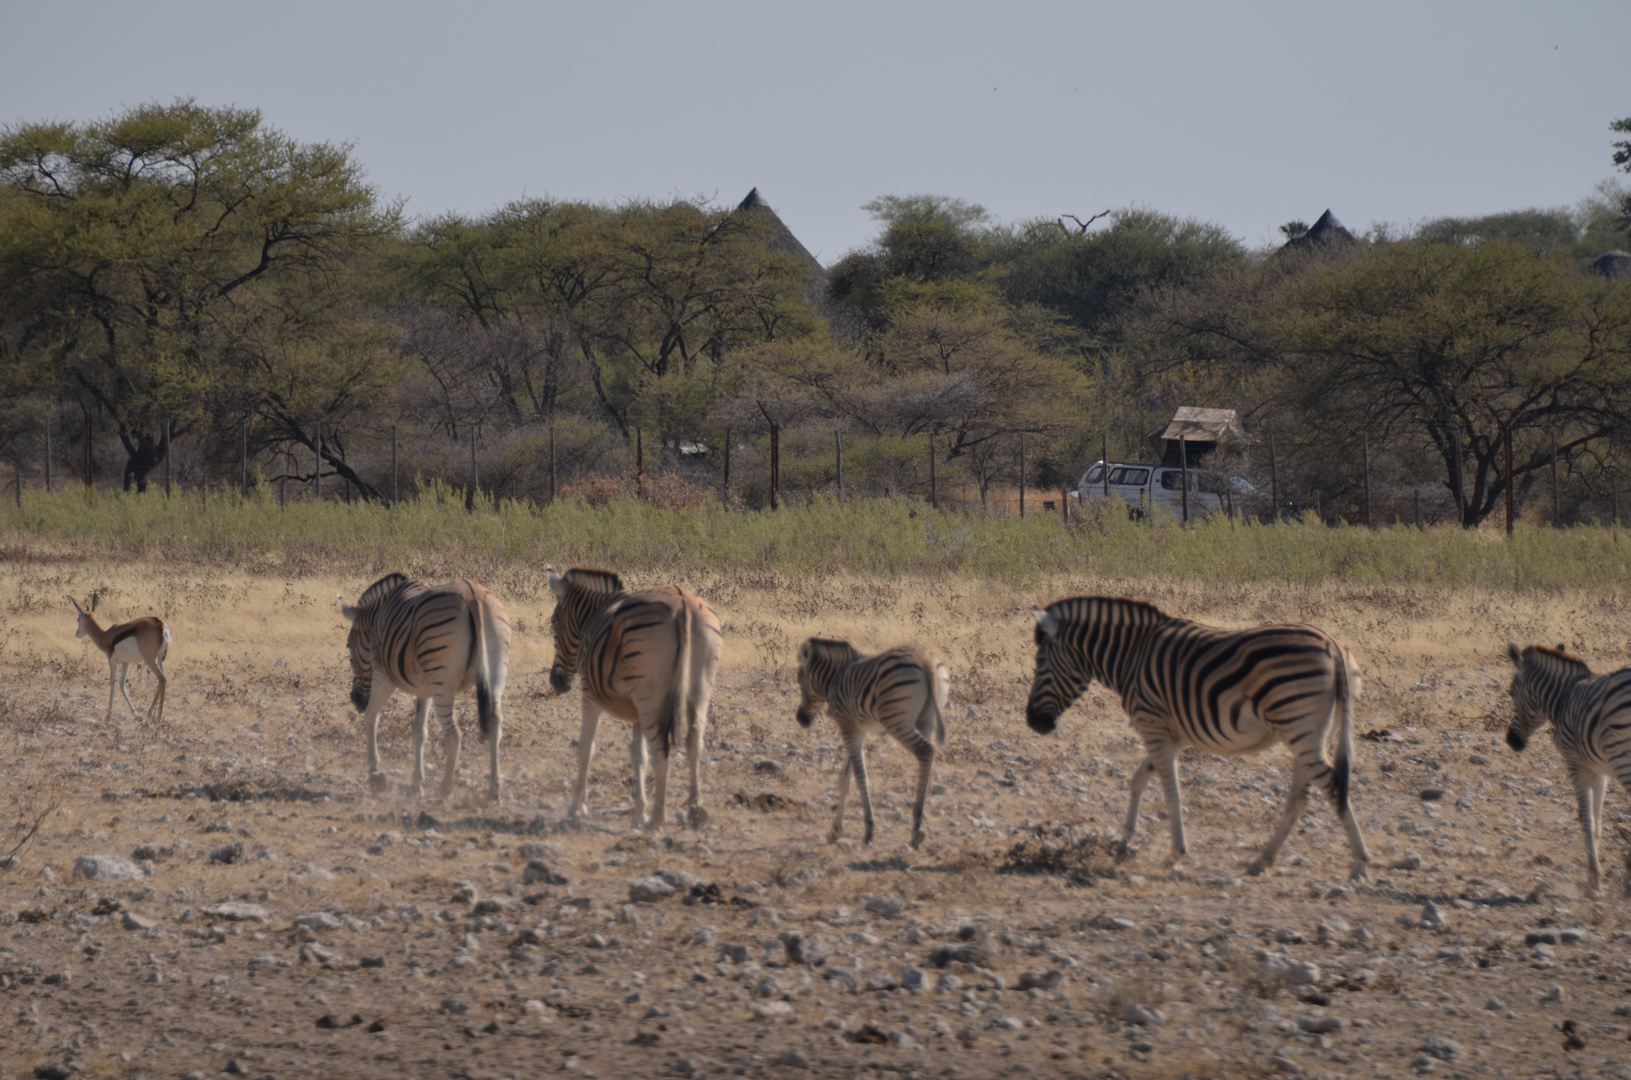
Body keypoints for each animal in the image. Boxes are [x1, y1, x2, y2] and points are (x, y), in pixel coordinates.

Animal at [332, 574, 505, 802]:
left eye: (349, 646)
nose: (355, 700)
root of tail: (473, 594)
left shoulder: (382, 673)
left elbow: (371, 718)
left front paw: (375, 772)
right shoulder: (425, 689)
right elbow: (420, 732)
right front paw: (416, 783)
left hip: (443, 683)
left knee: (454, 735)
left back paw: (445, 789)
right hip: (495, 672)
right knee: (495, 724)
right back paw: (494, 788)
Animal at [548, 567, 720, 828]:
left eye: (554, 622)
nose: (555, 681)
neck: (594, 613)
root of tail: (683, 603)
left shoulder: (590, 695)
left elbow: (586, 749)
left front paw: (577, 808)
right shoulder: (638, 712)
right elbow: (639, 757)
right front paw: (639, 812)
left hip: (651, 697)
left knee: (661, 751)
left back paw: (657, 821)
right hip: (700, 688)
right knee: (695, 742)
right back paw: (694, 808)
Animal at [795, 636, 952, 854]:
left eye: (799, 678)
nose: (800, 719)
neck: (835, 679)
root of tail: (924, 659)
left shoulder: (848, 728)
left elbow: (860, 777)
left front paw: (868, 830)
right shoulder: (857, 729)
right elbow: (845, 778)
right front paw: (835, 830)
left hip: (896, 721)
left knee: (925, 751)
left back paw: (916, 829)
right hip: (926, 720)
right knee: (931, 755)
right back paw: (924, 809)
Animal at [1030, 597, 1363, 887]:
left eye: (1041, 662)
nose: (1033, 722)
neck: (1130, 656)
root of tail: (1334, 646)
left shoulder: (1152, 725)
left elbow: (1170, 792)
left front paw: (1175, 853)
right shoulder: (1174, 733)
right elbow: (1138, 779)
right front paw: (1124, 842)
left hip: (1298, 725)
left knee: (1334, 787)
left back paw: (1359, 863)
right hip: (1310, 733)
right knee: (1299, 798)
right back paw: (1262, 860)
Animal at [1500, 642, 1631, 894]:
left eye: (1511, 693)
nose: (1511, 741)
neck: (1564, 699)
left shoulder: (1574, 763)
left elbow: (1585, 818)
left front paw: (1593, 880)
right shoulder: (1598, 770)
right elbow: (1597, 821)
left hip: (1623, 759)